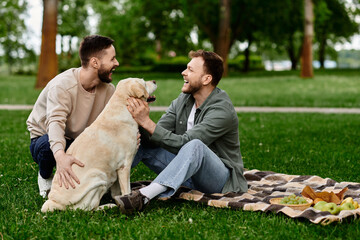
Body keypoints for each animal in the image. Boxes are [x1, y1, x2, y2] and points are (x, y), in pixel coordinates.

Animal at [41, 78, 156, 211]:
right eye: (144, 83)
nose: (154, 81)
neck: (123, 106)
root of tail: (55, 202)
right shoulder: (125, 166)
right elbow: (126, 190)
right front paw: (128, 200)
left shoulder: (116, 168)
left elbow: (116, 192)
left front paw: (119, 199)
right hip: (99, 177)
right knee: (88, 209)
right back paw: (107, 206)